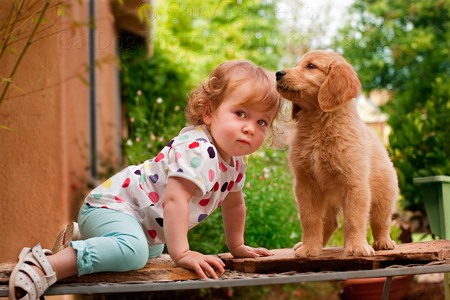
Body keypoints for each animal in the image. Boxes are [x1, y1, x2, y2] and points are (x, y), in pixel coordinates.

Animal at [274, 50, 398, 256]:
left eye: (311, 66)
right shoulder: (306, 184)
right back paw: (311, 245)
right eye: (297, 64)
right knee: (330, 223)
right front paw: (309, 248)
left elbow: (354, 219)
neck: (319, 125)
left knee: (381, 220)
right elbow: (310, 219)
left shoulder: (355, 184)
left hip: (384, 194)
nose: (278, 74)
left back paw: (383, 242)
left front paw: (356, 247)